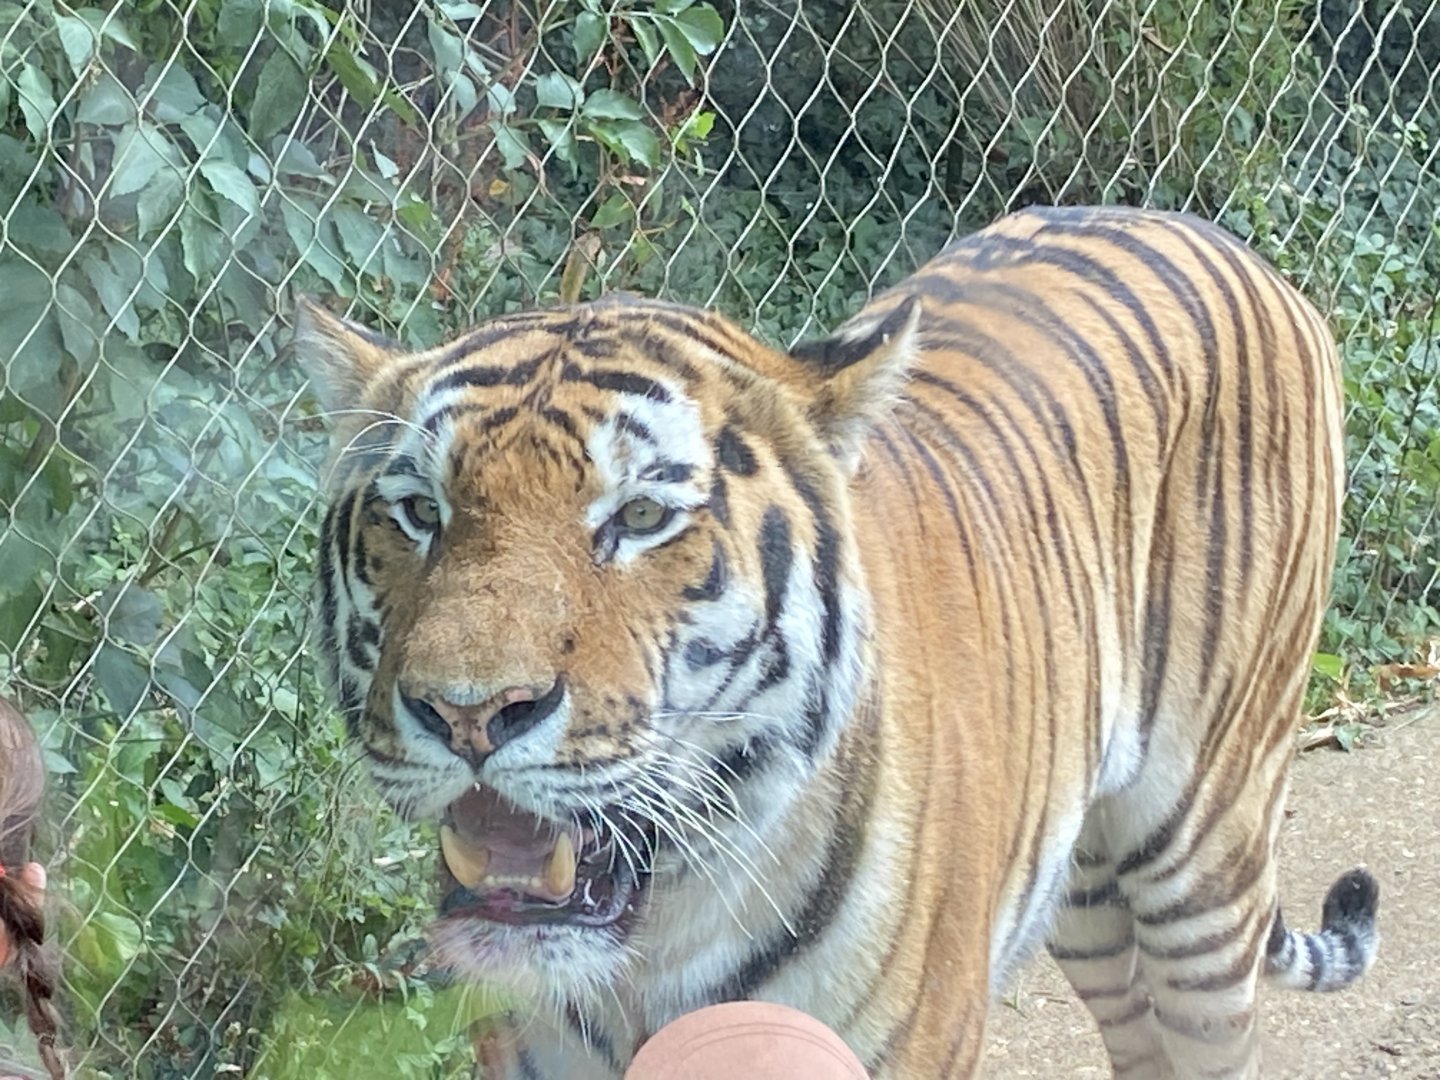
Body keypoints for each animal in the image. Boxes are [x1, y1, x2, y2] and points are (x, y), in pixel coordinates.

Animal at [295, 204, 1379, 1079]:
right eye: (419, 512)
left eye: (640, 517)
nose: (469, 714)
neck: (647, 960)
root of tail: (1230, 245)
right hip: (1088, 896)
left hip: (1201, 858)